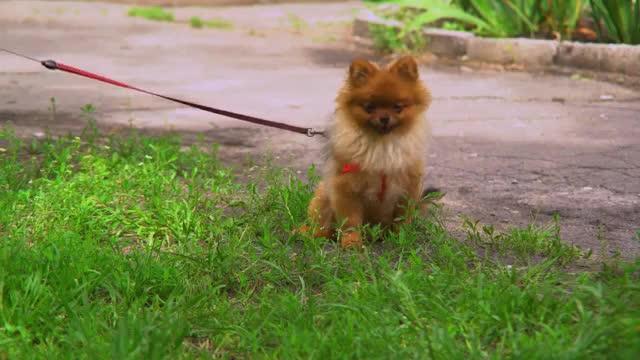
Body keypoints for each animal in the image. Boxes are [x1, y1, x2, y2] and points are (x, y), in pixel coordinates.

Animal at [304, 56, 430, 249]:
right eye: (369, 107)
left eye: (398, 107)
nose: (384, 118)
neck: (382, 146)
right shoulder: (346, 188)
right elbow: (351, 221)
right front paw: (352, 242)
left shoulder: (408, 188)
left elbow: (402, 219)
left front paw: (401, 238)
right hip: (323, 195)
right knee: (320, 224)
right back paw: (309, 234)